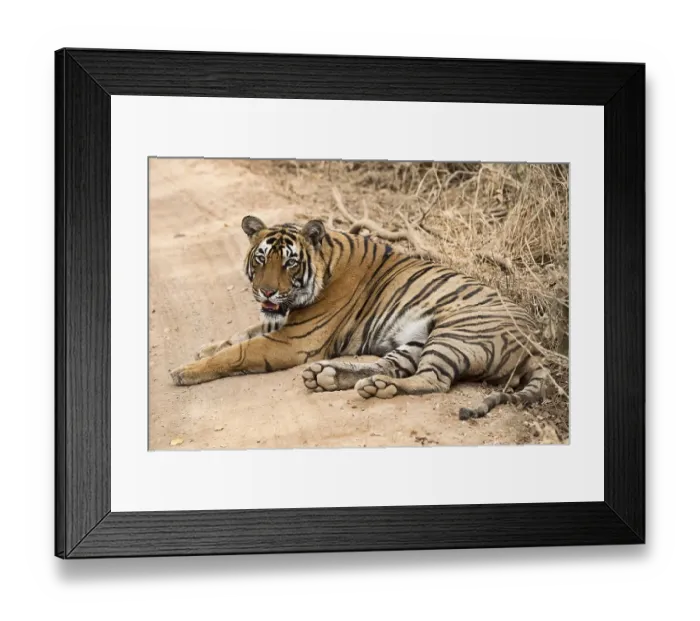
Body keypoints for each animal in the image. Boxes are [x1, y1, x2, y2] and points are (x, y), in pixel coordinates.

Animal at [169, 215, 551, 420]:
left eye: (289, 262)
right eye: (261, 258)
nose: (266, 292)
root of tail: (539, 345)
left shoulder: (295, 340)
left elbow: (239, 350)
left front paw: (184, 371)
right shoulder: (283, 322)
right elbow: (241, 333)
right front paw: (204, 349)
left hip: (455, 333)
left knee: (433, 380)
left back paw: (374, 388)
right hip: (417, 340)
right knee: (386, 367)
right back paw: (331, 377)